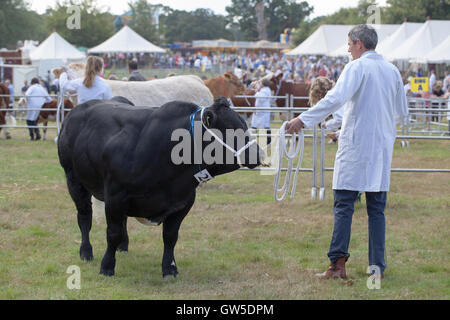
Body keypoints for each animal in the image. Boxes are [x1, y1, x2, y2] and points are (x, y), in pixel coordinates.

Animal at [58, 96, 266, 276]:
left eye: (244, 125)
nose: (258, 154)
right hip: (74, 181)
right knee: (85, 217)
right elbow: (112, 233)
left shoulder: (183, 202)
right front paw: (107, 267)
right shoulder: (115, 197)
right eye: (230, 128)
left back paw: (123, 247)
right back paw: (86, 252)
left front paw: (169, 268)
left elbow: (170, 236)